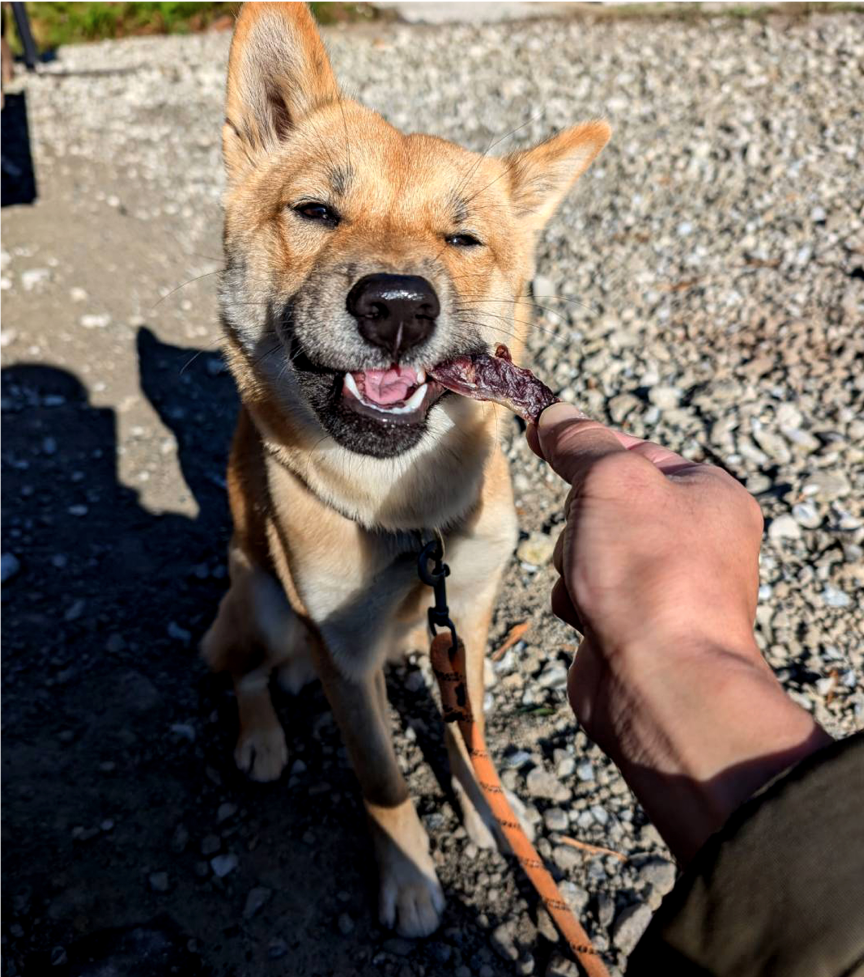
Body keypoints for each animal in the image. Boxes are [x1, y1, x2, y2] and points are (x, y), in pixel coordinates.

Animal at [202, 0, 608, 936]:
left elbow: (469, 730)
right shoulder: (342, 650)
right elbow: (382, 780)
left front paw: (489, 812)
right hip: (260, 606)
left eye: (462, 236)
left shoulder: (471, 613)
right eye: (316, 210)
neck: (405, 516)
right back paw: (261, 734)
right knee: (242, 672)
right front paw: (412, 880)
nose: (395, 306)